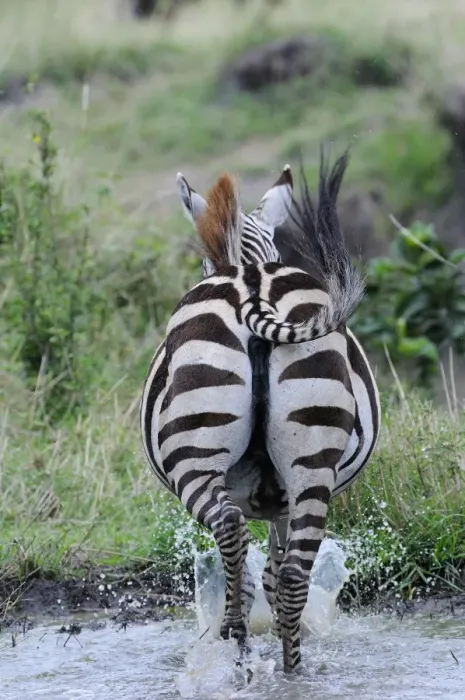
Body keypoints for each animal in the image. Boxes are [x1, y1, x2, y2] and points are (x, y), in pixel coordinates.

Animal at [140, 153, 381, 673]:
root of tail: (253, 289)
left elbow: (253, 574)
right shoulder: (282, 501)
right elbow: (271, 572)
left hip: (194, 458)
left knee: (230, 528)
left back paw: (234, 632)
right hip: (312, 463)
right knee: (291, 577)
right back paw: (292, 671)